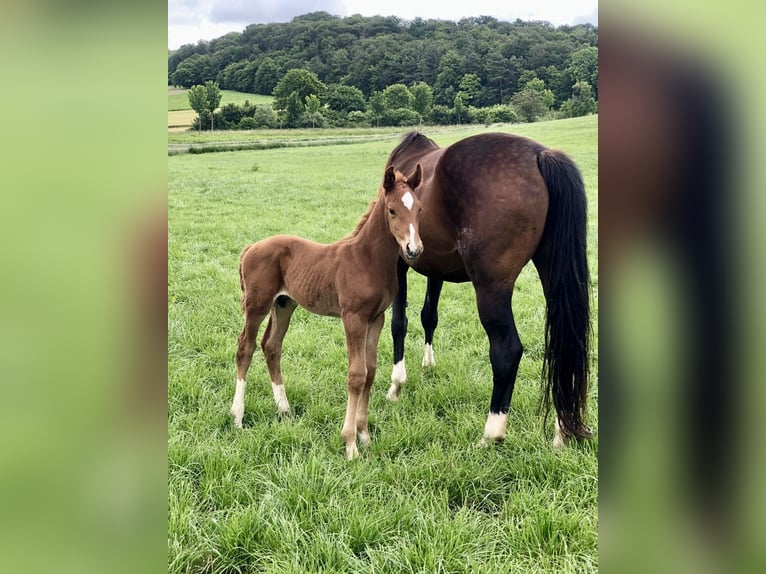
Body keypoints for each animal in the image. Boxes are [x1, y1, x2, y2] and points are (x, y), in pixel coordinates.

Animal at [234, 165, 426, 460]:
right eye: (392, 210)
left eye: (419, 209)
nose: (413, 249)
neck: (367, 260)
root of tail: (249, 249)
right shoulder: (353, 317)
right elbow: (357, 374)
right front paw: (350, 444)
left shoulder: (376, 318)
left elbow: (370, 371)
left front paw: (365, 435)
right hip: (257, 304)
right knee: (246, 346)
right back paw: (237, 417)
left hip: (284, 304)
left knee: (271, 346)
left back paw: (284, 410)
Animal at [384, 133, 592, 448]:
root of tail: (541, 155)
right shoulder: (435, 269)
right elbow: (429, 316)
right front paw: (428, 363)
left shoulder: (398, 263)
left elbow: (399, 323)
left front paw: (396, 386)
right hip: (554, 277)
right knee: (563, 343)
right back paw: (562, 430)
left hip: (491, 289)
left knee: (507, 351)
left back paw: (491, 432)